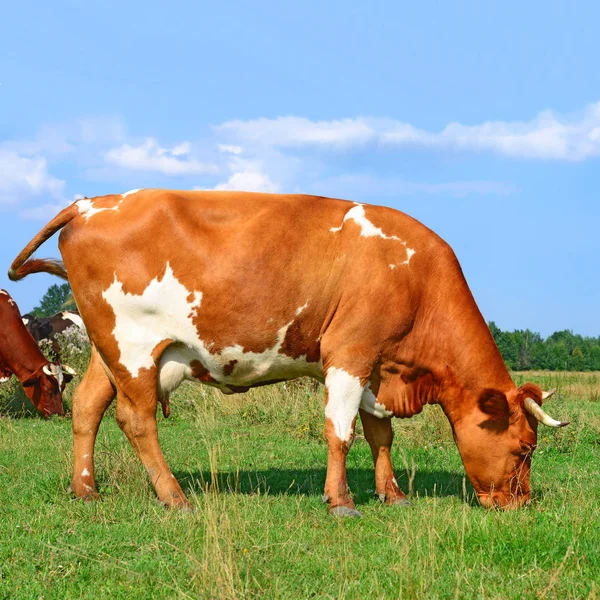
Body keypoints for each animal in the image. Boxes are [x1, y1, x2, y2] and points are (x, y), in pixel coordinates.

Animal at [9, 189, 568, 516]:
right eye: (524, 447)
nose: (521, 503)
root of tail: (92, 201)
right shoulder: (349, 352)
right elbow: (340, 432)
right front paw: (341, 502)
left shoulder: (376, 364)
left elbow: (380, 434)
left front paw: (392, 495)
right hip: (133, 347)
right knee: (136, 418)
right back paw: (175, 497)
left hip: (108, 351)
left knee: (87, 407)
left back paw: (86, 490)